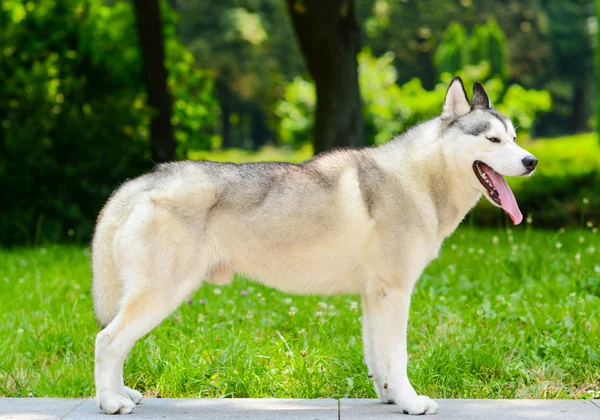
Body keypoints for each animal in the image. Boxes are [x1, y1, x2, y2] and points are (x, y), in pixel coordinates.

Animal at [94, 77, 540, 416]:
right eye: (493, 139)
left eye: (515, 138)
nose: (532, 161)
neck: (421, 179)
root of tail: (144, 180)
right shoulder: (395, 292)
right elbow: (398, 355)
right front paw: (411, 402)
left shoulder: (373, 296)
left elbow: (379, 358)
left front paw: (391, 396)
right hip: (162, 294)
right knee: (107, 341)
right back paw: (110, 402)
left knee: (117, 342)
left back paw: (122, 393)